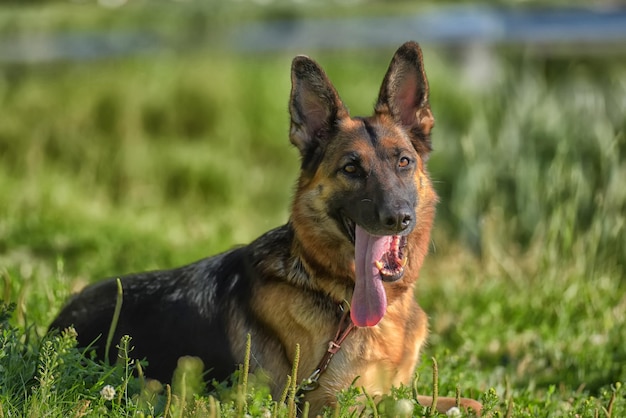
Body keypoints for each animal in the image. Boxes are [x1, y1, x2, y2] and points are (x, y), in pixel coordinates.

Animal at [51, 41, 480, 414]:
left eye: (404, 161)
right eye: (351, 168)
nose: (398, 217)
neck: (332, 289)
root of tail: (56, 325)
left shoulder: (397, 390)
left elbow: (466, 402)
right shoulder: (331, 403)